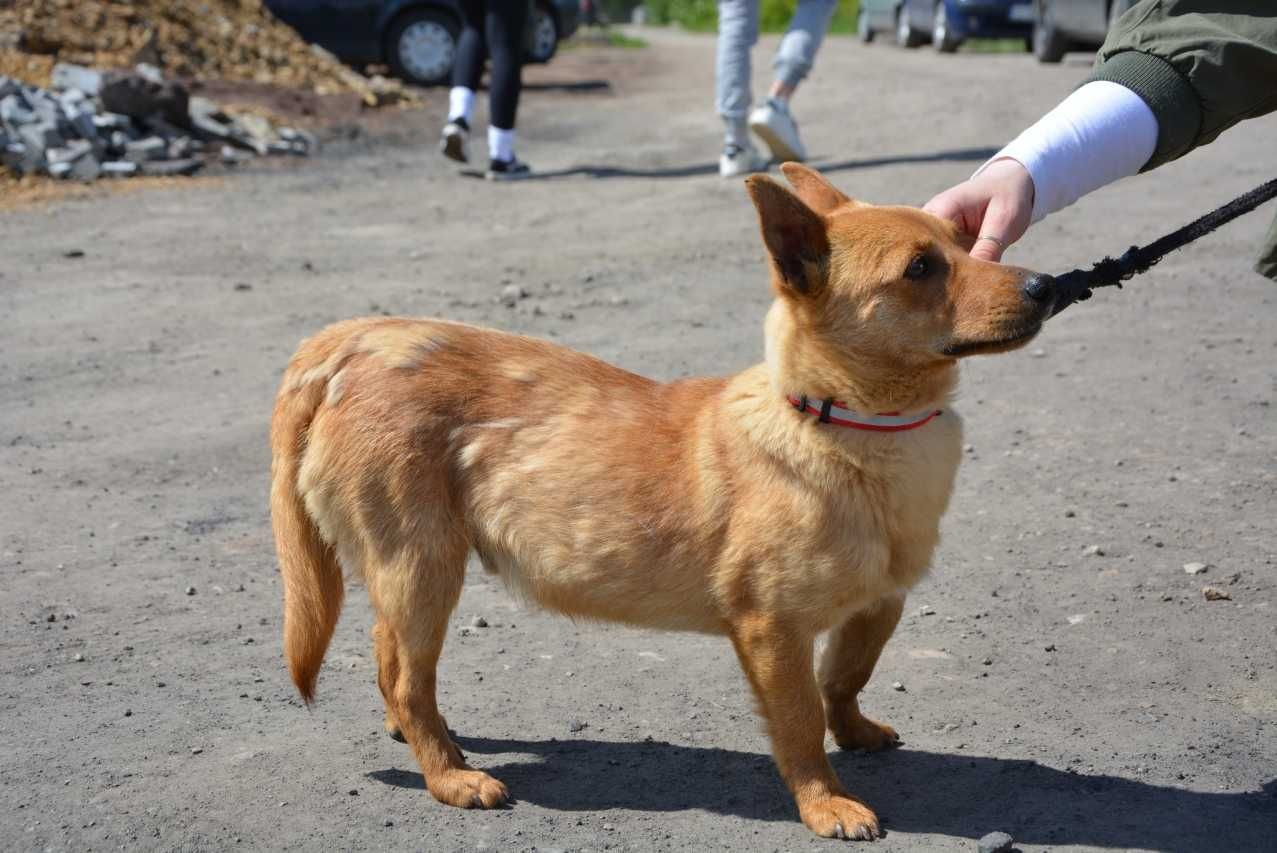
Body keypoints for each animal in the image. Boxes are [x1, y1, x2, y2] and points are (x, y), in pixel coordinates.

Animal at [272, 164, 1057, 837]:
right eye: (920, 268)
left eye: (964, 240)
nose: (1048, 284)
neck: (846, 425)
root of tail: (352, 340)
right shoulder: (773, 630)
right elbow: (801, 723)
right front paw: (824, 801)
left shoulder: (879, 605)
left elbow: (844, 678)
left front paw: (856, 732)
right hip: (423, 565)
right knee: (407, 676)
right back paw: (448, 776)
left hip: (412, 574)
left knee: (389, 657)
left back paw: (419, 736)